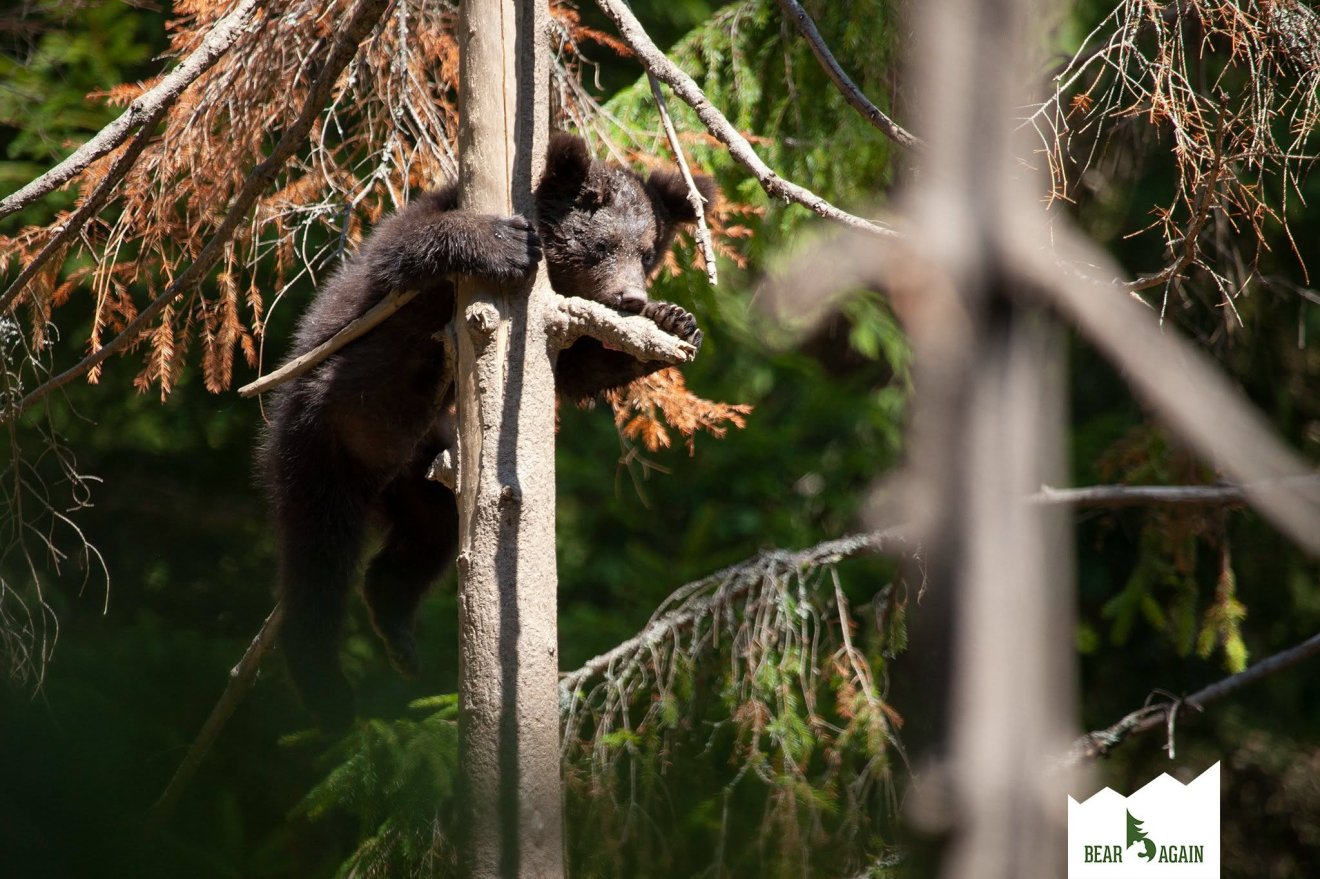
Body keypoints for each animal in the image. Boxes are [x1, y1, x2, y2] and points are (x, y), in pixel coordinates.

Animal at [260, 133, 715, 729]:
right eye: (602, 246)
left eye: (647, 250)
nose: (632, 299)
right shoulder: (394, 287)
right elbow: (404, 250)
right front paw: (502, 242)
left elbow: (578, 368)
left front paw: (673, 324)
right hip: (322, 441)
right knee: (318, 565)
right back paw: (328, 692)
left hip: (426, 460)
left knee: (431, 530)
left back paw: (398, 630)